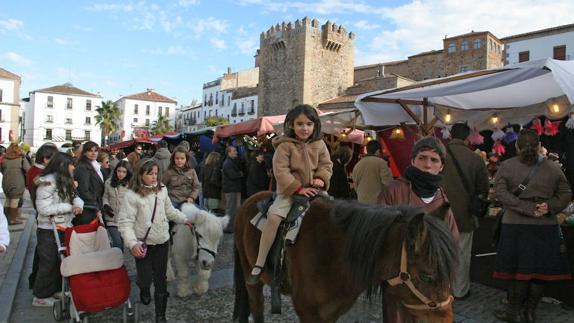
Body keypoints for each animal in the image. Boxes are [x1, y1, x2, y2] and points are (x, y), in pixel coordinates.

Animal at [234, 192, 460, 323]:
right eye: (427, 277)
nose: (446, 320)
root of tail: (250, 199)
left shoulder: (331, 312)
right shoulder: (308, 313)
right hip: (251, 278)